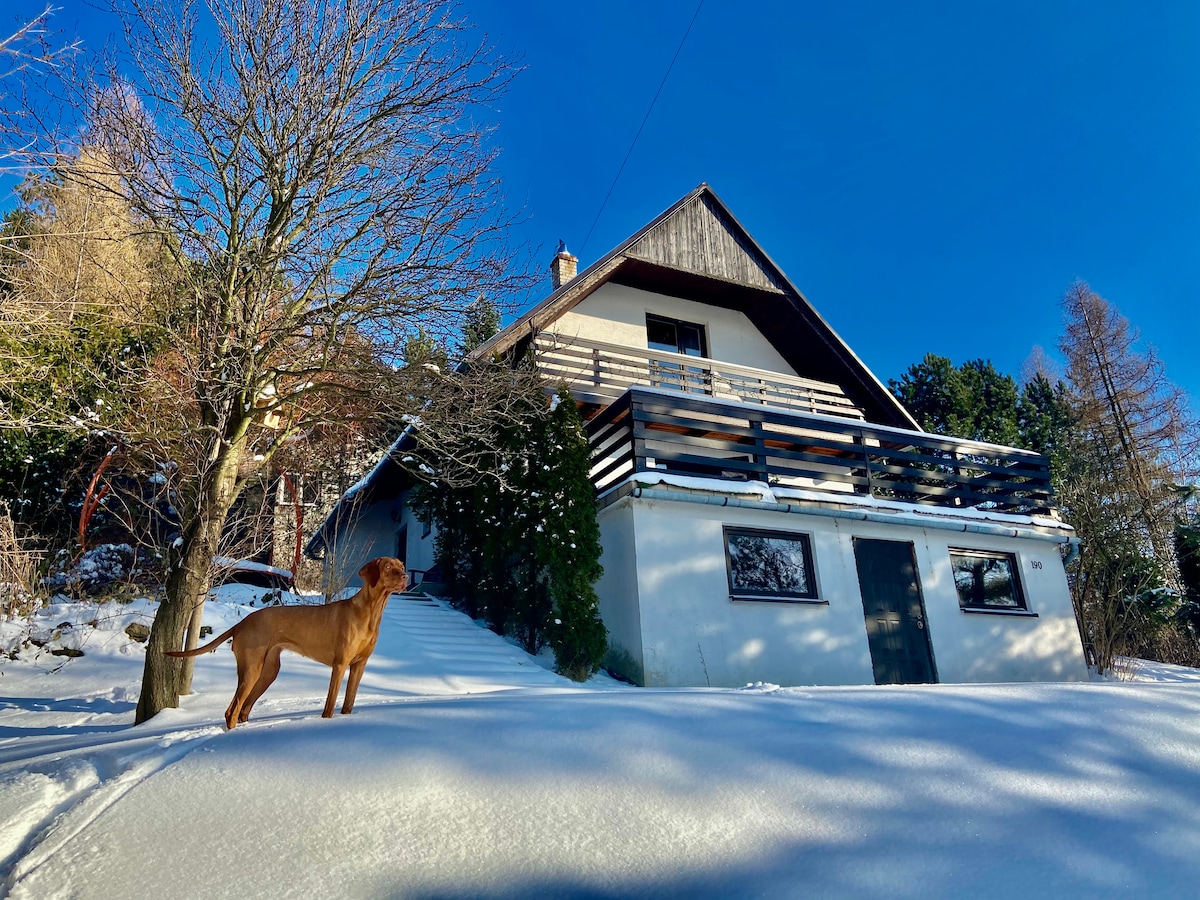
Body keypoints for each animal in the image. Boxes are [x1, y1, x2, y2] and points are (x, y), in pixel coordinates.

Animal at [164, 561, 410, 729]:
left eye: (401, 565)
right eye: (388, 567)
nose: (406, 576)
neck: (370, 613)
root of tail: (242, 622)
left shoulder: (359, 665)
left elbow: (349, 702)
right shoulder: (340, 665)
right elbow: (330, 704)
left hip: (268, 671)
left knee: (243, 709)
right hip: (252, 669)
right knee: (232, 710)